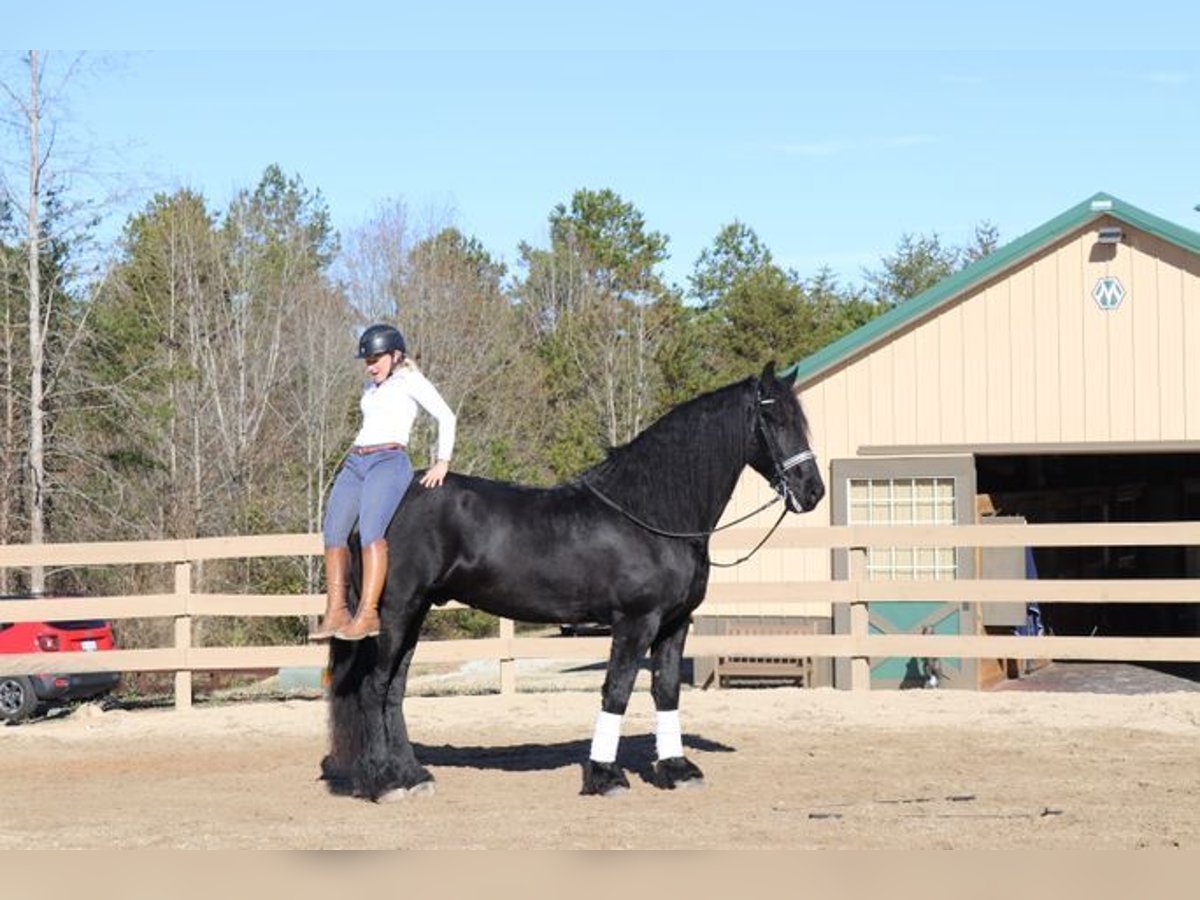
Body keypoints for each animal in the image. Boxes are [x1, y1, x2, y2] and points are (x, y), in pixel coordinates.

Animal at [319, 362, 825, 801]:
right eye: (772, 416)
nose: (812, 490)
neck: (652, 512)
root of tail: (376, 507)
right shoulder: (635, 623)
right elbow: (617, 692)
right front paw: (605, 776)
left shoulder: (676, 624)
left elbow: (665, 691)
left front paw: (677, 769)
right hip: (396, 612)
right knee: (373, 688)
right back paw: (385, 783)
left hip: (416, 612)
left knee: (394, 690)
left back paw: (413, 775)